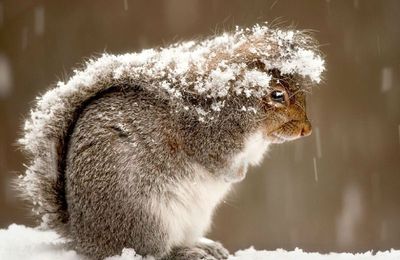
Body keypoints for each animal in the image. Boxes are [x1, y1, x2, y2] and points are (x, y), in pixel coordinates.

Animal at [17, 23, 324, 258]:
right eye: (277, 95)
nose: (307, 130)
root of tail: (85, 238)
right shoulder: (207, 140)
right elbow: (218, 163)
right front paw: (236, 175)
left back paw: (204, 245)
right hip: (147, 217)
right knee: (153, 251)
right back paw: (185, 252)